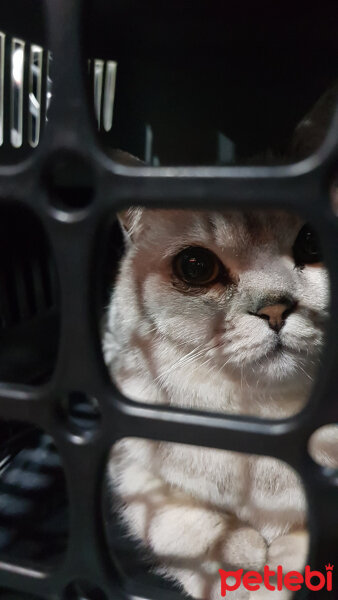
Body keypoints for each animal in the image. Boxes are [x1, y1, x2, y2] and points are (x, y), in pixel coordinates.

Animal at [103, 89, 336, 600]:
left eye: (314, 241)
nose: (275, 309)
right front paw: (247, 570)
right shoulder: (133, 472)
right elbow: (193, 531)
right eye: (196, 267)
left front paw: (286, 570)